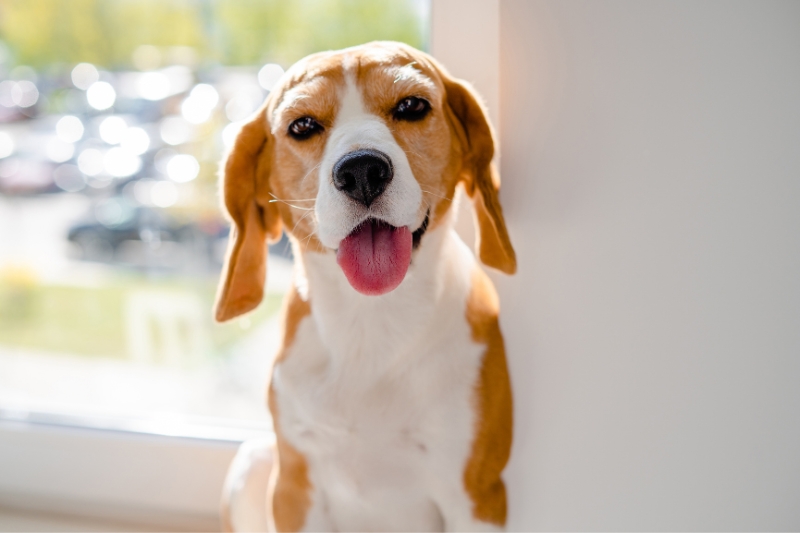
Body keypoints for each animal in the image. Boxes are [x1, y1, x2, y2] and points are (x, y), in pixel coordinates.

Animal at [217, 39, 520, 528]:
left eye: (412, 106)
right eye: (303, 125)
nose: (361, 170)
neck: (370, 321)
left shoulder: (477, 496)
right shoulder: (294, 490)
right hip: (254, 462)